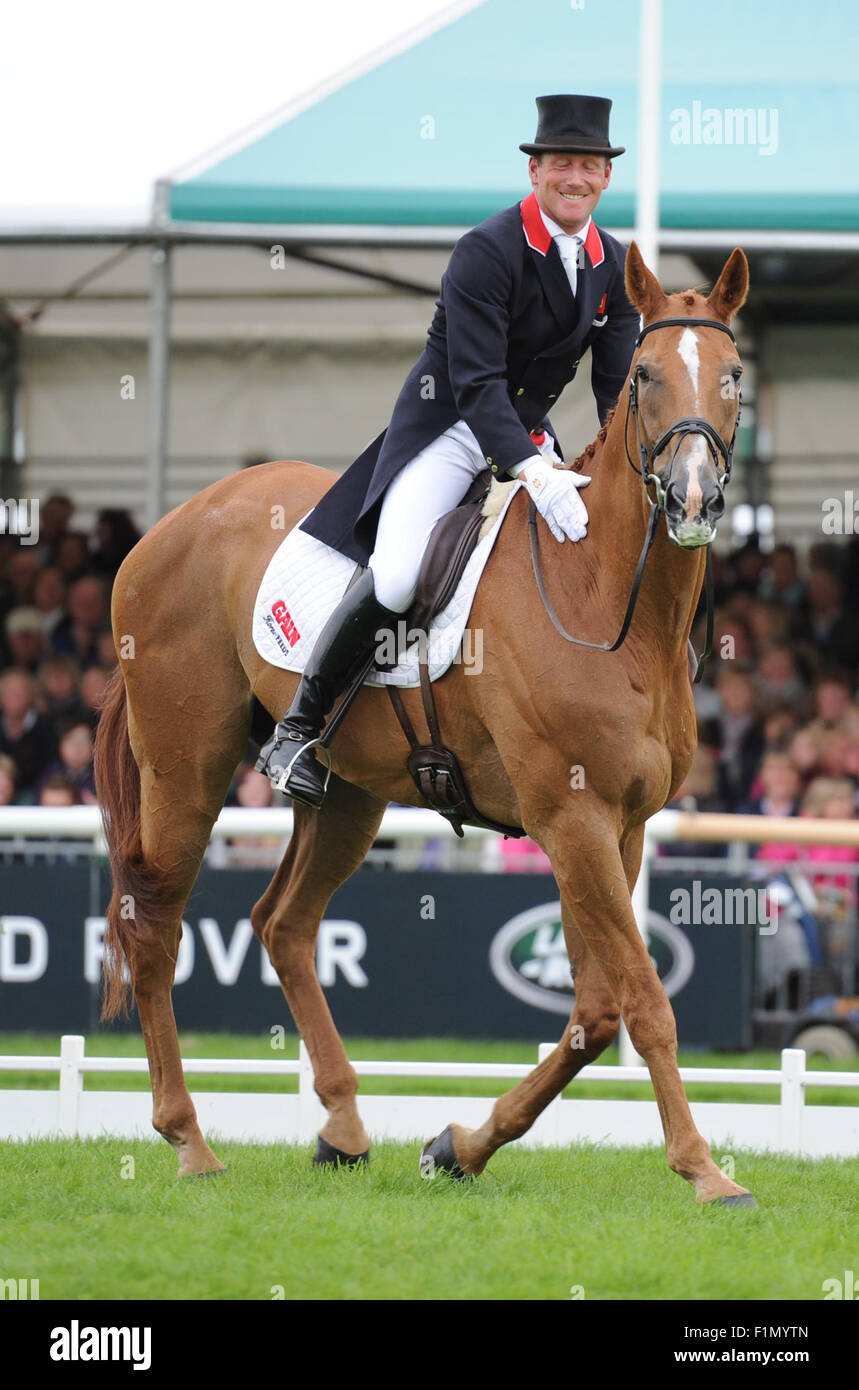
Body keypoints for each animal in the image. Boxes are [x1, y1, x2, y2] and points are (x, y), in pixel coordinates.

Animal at [93, 242, 755, 1205]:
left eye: (733, 377)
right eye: (644, 377)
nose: (693, 499)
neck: (604, 597)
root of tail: (169, 526)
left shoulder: (619, 826)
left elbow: (595, 1011)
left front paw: (460, 1147)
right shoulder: (570, 820)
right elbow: (643, 999)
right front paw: (704, 1170)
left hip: (345, 797)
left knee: (283, 923)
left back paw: (341, 1126)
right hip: (185, 768)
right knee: (154, 927)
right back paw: (189, 1141)